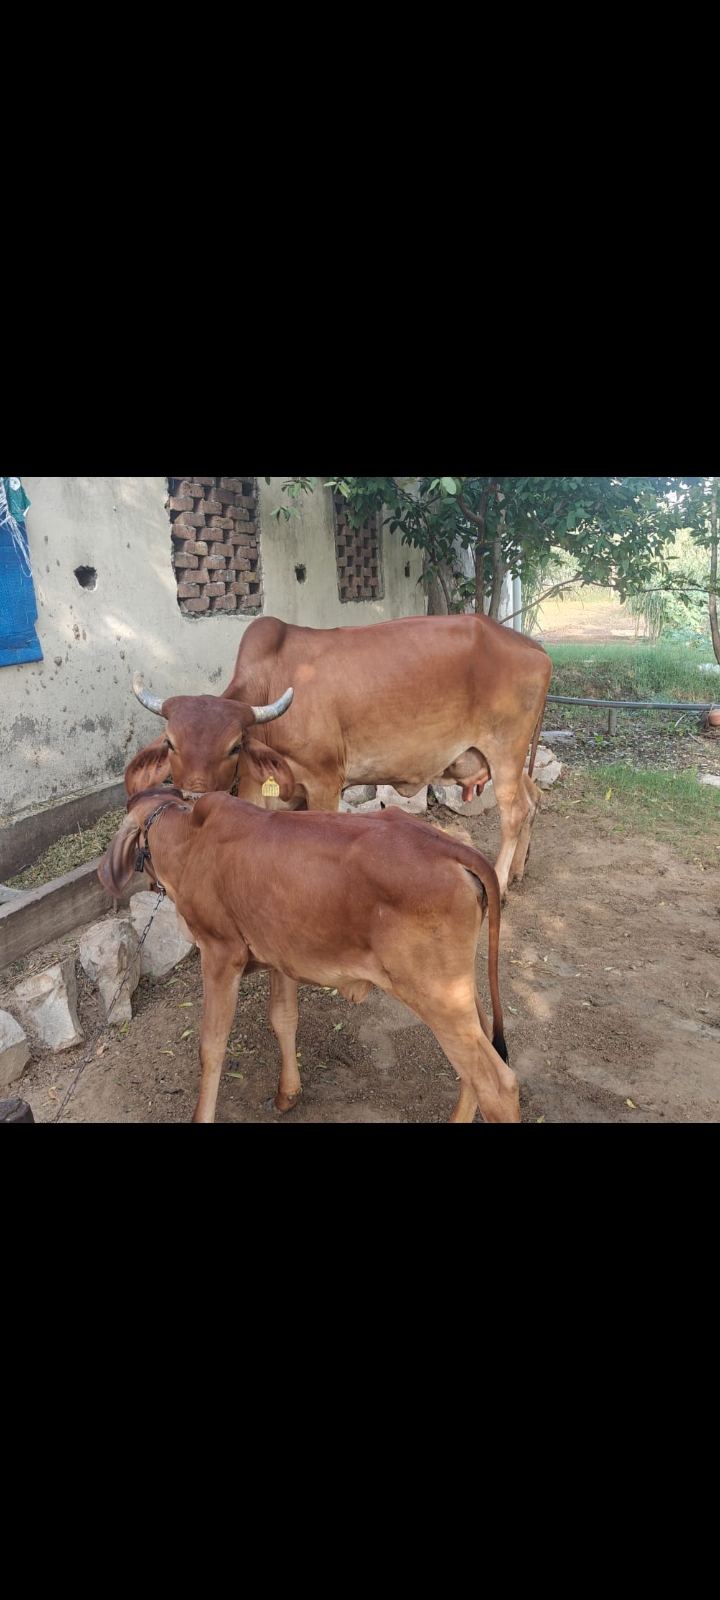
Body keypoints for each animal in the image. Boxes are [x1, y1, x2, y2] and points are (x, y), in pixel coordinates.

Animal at [98, 778, 521, 1125]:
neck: (188, 838)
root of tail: (450, 845)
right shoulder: (279, 954)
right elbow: (283, 1018)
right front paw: (287, 1095)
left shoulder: (220, 954)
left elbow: (211, 1047)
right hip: (457, 991)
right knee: (483, 1051)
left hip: (436, 996)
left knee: (496, 1083)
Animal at [128, 612, 552, 900]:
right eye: (170, 743)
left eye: (233, 744)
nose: (195, 797)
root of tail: (533, 647)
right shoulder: (259, 788)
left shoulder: (324, 783)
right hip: (505, 759)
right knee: (533, 799)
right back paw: (518, 870)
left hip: (504, 750)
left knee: (514, 812)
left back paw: (500, 883)